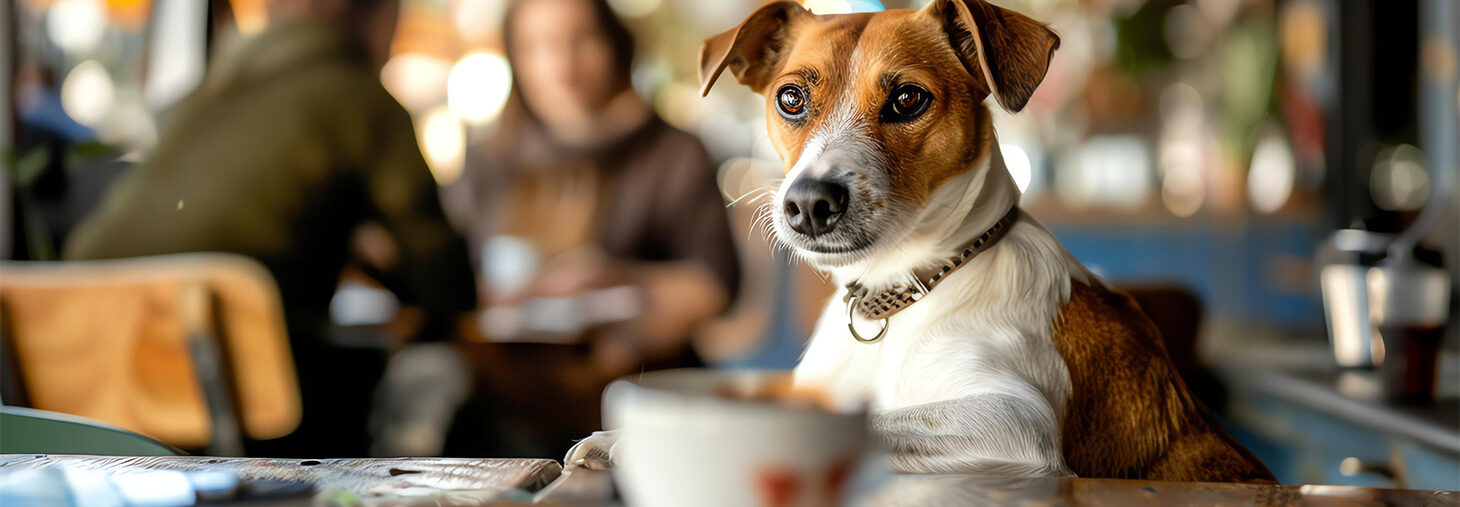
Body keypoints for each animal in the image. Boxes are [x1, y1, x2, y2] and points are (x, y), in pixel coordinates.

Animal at [563, 0, 1273, 485]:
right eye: (790, 98)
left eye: (907, 98)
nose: (808, 204)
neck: (905, 294)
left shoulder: (1015, 422)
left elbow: (879, 419)